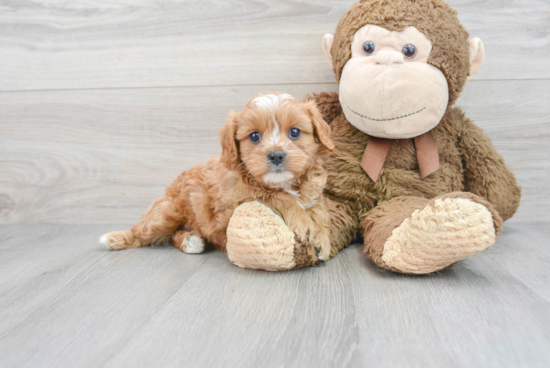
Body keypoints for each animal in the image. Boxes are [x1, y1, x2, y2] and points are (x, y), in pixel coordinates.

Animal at [101, 93, 338, 260]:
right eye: (254, 136)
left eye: (295, 132)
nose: (276, 155)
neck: (283, 183)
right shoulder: (234, 205)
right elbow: (275, 196)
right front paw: (303, 222)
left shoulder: (313, 194)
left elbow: (319, 211)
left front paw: (322, 237)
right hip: (168, 212)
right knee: (143, 232)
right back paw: (113, 238)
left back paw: (191, 241)